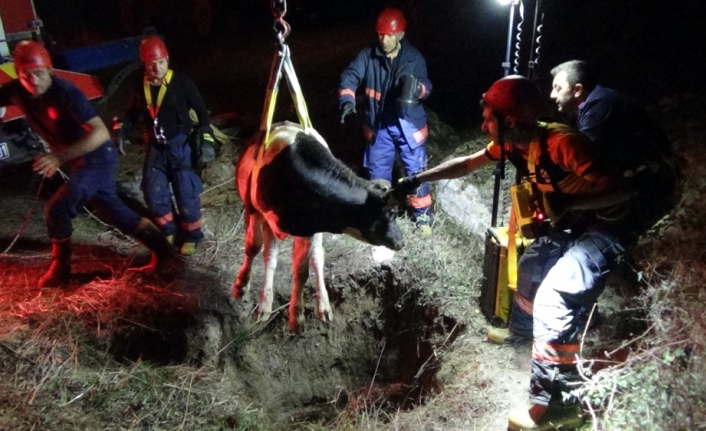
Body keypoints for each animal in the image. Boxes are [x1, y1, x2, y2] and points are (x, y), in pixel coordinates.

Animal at [234, 123, 404, 332]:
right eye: (390, 214)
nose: (401, 242)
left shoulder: (308, 229)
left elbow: (302, 271)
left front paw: (296, 315)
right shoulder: (253, 209)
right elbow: (253, 247)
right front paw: (242, 285)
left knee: (316, 257)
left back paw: (322, 305)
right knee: (270, 255)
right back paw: (265, 304)